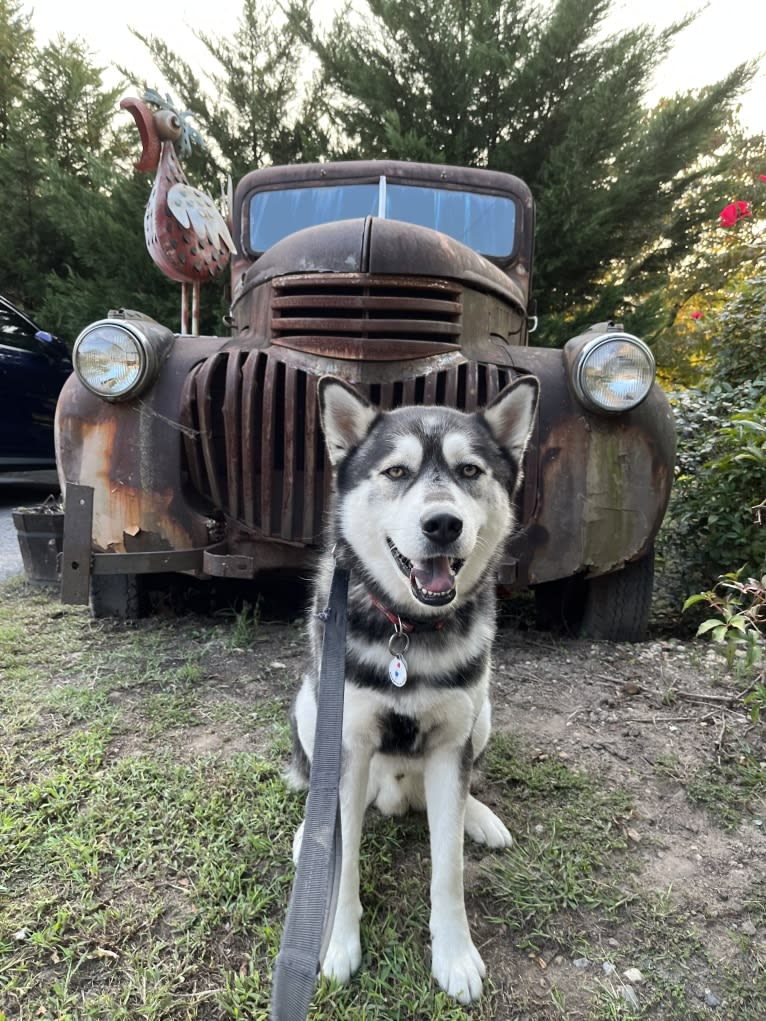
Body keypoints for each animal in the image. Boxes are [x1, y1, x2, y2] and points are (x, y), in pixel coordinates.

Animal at [288, 371, 539, 1000]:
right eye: (397, 472)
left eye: (470, 470)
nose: (443, 524)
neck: (409, 629)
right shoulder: (348, 744)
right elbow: (344, 862)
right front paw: (337, 945)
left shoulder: (452, 745)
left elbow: (448, 870)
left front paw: (455, 955)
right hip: (310, 704)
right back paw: (309, 835)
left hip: (483, 713)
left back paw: (478, 815)